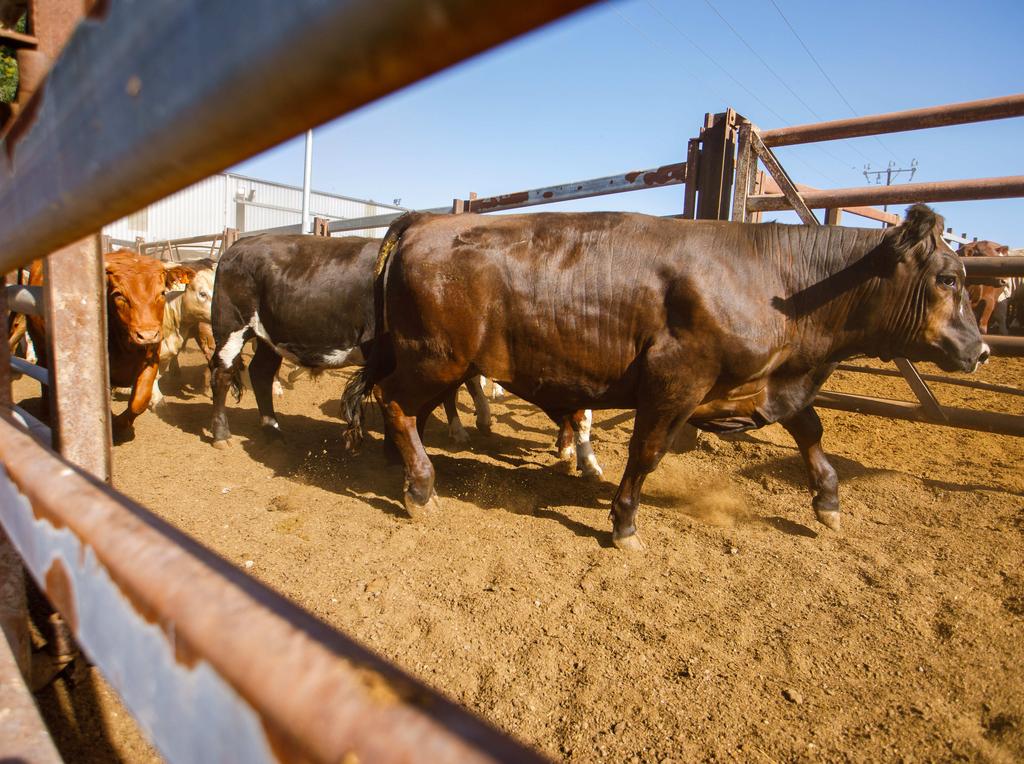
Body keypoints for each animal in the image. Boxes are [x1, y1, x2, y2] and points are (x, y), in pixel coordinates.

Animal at [346, 203, 991, 548]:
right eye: (949, 278)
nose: (981, 350)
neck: (775, 279)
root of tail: (423, 222)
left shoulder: (764, 383)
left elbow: (810, 430)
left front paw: (828, 501)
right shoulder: (675, 379)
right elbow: (648, 451)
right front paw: (625, 522)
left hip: (421, 357)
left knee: (391, 403)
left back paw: (397, 460)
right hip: (436, 357)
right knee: (396, 403)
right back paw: (421, 488)